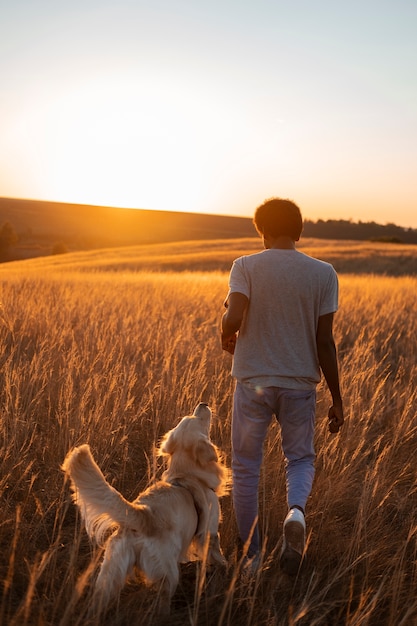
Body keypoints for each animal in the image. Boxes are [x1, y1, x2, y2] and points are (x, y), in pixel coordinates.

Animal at [62, 402, 228, 612]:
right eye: (199, 419)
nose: (203, 404)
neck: (186, 474)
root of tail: (142, 515)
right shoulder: (209, 531)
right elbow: (216, 553)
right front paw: (223, 567)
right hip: (168, 574)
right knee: (162, 601)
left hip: (110, 572)